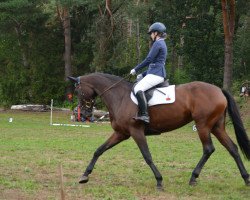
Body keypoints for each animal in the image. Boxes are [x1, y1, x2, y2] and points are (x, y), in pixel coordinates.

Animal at [67, 72, 249, 189]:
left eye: (77, 91)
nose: (84, 114)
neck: (119, 96)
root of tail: (219, 90)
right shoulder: (121, 133)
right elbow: (99, 150)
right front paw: (85, 175)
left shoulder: (136, 132)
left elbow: (147, 156)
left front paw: (159, 180)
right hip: (216, 126)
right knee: (232, 148)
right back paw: (246, 178)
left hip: (203, 125)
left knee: (208, 149)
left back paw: (193, 177)